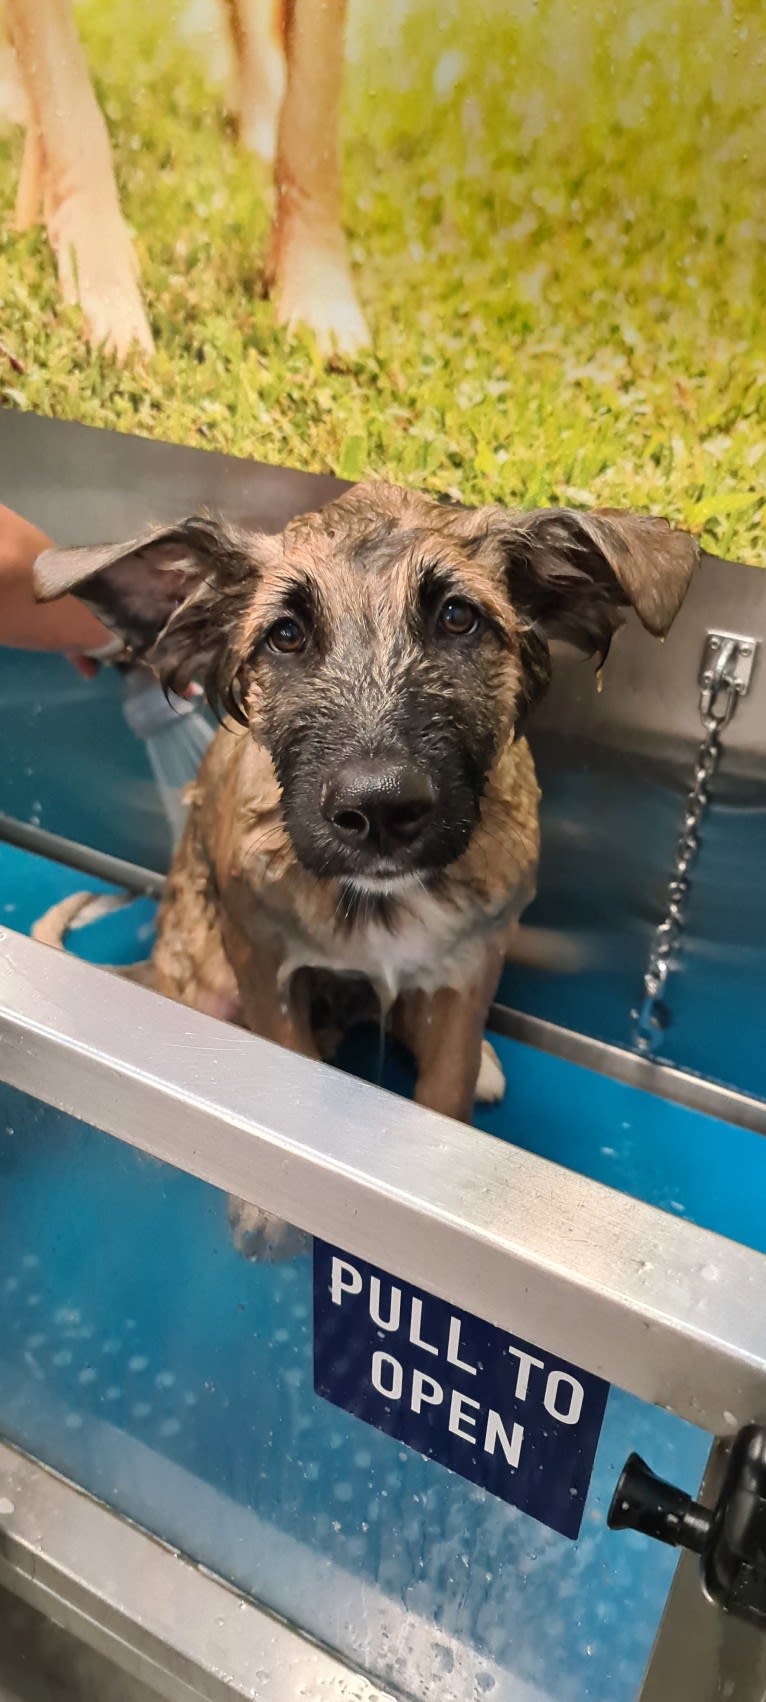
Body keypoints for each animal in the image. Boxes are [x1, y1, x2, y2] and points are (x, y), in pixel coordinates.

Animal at [35, 486, 697, 1259]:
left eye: (458, 617)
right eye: (285, 635)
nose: (379, 807)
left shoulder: (470, 961)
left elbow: (446, 1085)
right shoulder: (263, 961)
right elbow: (281, 1064)